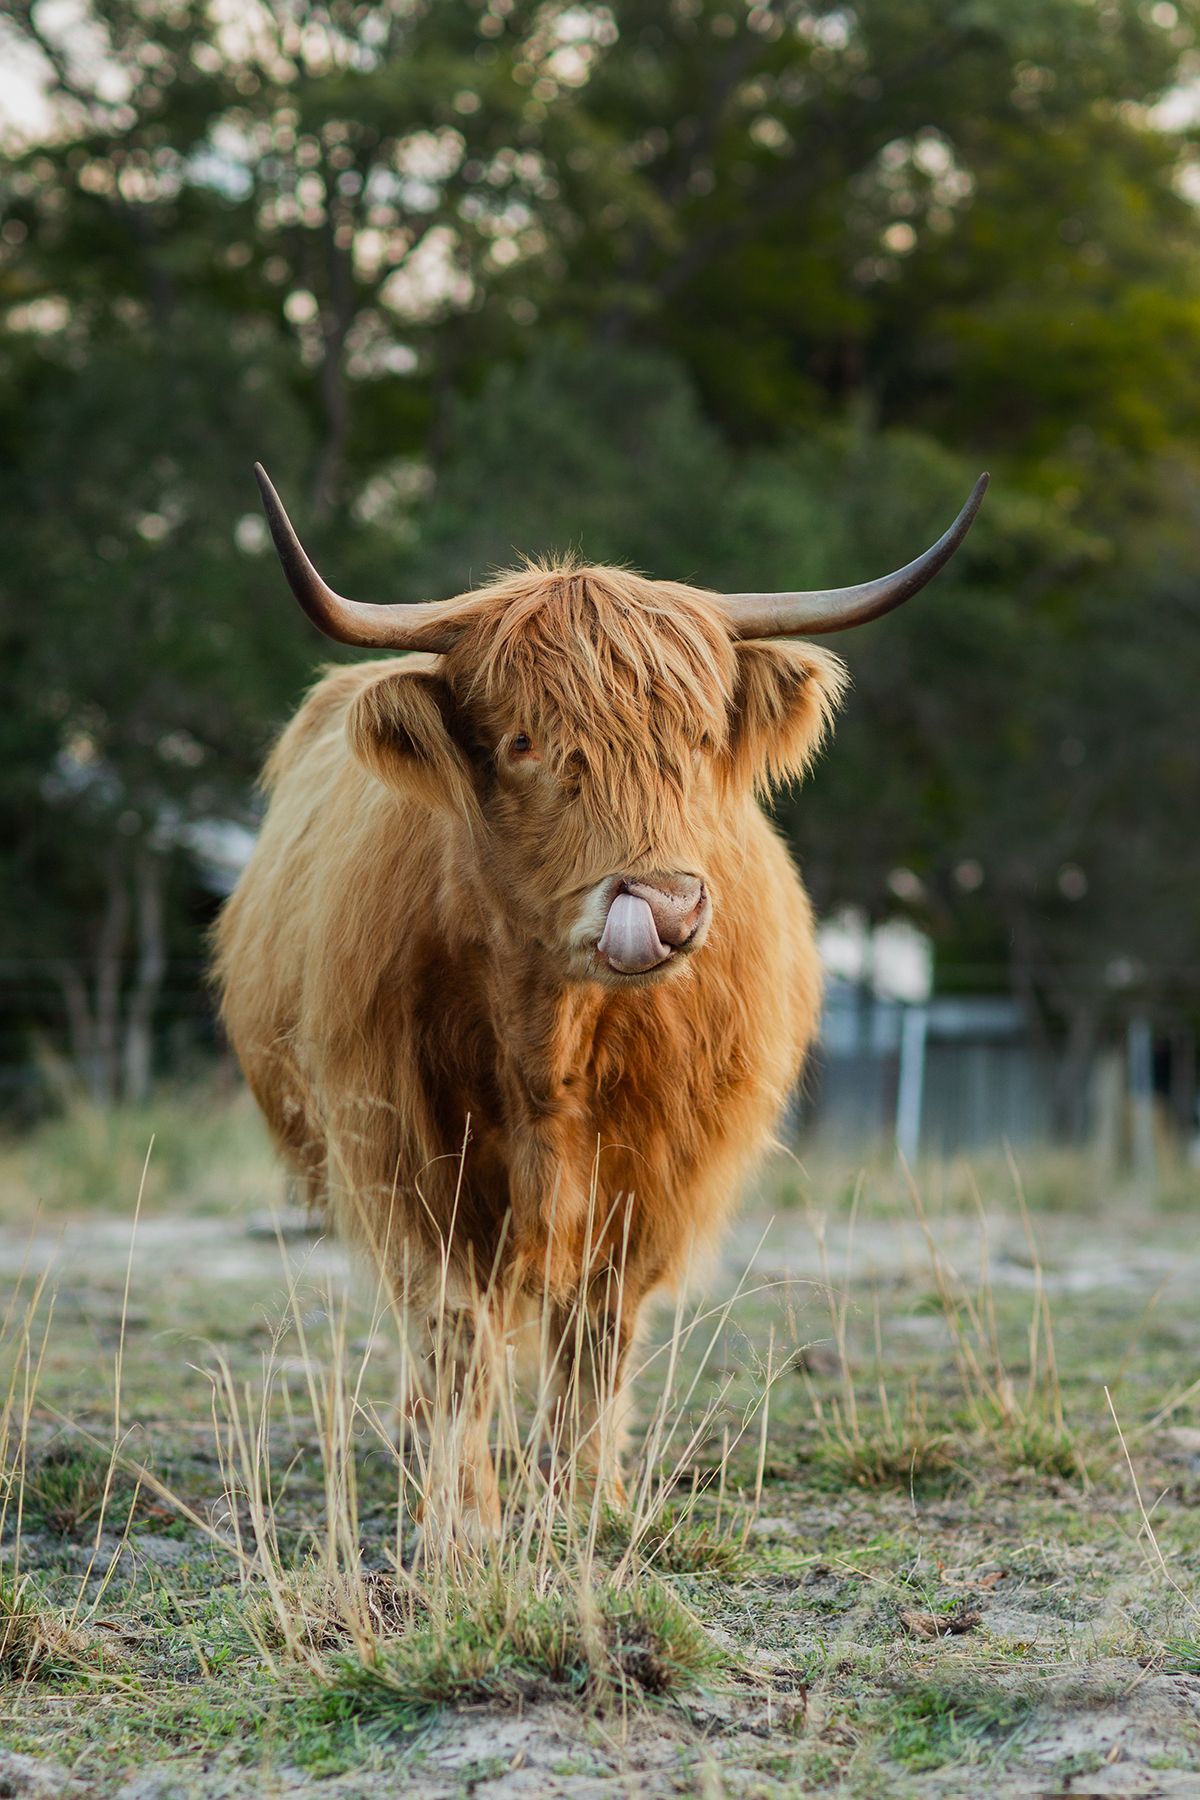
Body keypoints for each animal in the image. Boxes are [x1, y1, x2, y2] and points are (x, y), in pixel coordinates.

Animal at [214, 465, 986, 1539]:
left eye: (699, 739)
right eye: (524, 741)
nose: (665, 906)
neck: (549, 1038)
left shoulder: (661, 1170)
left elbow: (598, 1328)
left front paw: (585, 1501)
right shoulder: (399, 1150)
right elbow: (455, 1328)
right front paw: (462, 1519)